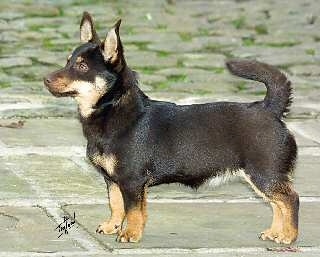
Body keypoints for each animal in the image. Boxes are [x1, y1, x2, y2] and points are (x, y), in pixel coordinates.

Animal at [44, 12, 300, 243]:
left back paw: (288, 236)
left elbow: (133, 211)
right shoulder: (114, 181)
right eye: (67, 61)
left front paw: (130, 234)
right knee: (276, 203)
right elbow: (116, 205)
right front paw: (112, 226)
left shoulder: (132, 182)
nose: (45, 79)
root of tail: (269, 108)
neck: (111, 109)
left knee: (290, 199)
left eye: (82, 67)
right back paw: (274, 233)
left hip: (264, 174)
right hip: (263, 178)